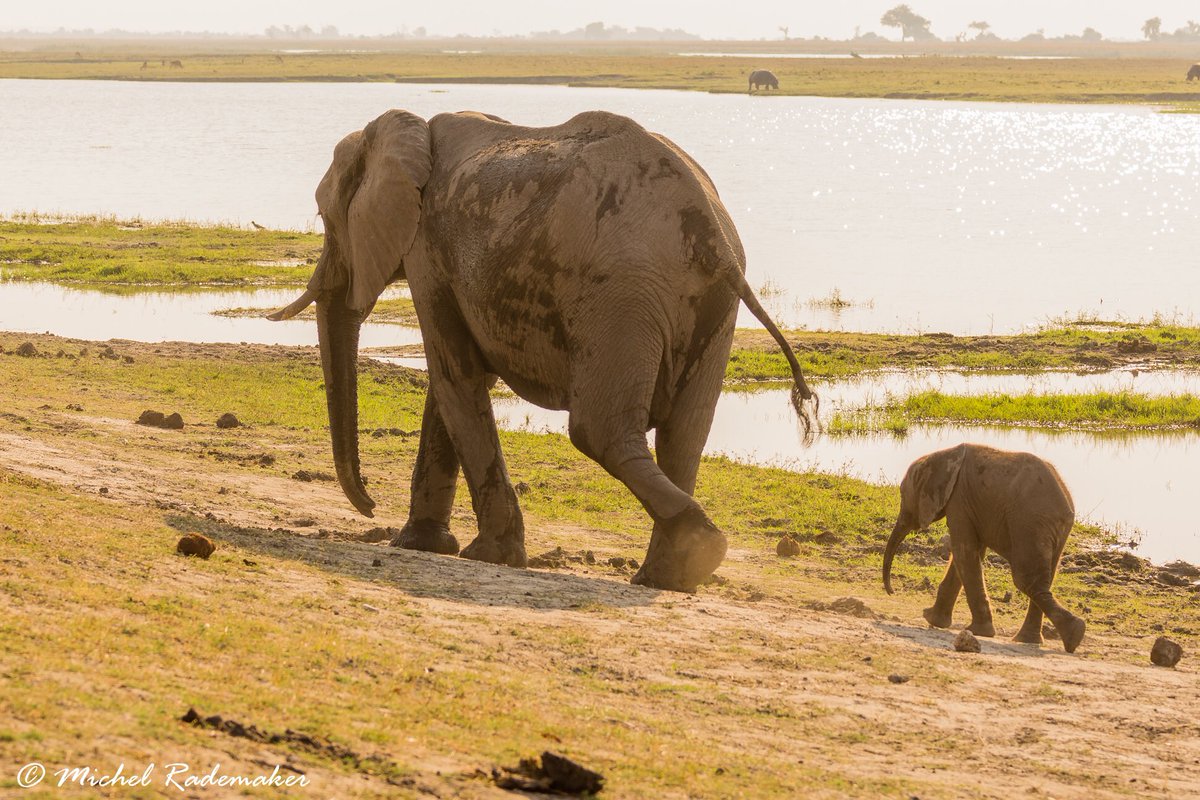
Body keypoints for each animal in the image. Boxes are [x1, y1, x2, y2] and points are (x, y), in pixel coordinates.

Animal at [269, 108, 817, 593]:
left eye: (324, 217)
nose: (368, 506)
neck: (407, 131)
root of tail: (712, 235)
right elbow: (457, 383)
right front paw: (420, 545)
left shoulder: (427, 251)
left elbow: (454, 376)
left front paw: (488, 555)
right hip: (704, 306)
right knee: (684, 437)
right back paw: (670, 575)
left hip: (618, 296)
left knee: (599, 431)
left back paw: (692, 556)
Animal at [882, 444, 1086, 653]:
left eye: (902, 494)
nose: (892, 592)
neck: (944, 455)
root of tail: (1065, 503)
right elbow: (968, 555)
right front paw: (932, 619)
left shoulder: (959, 501)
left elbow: (964, 552)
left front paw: (978, 631)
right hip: (1051, 530)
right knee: (1044, 579)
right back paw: (1040, 639)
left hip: (1029, 524)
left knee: (1026, 580)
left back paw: (1072, 635)